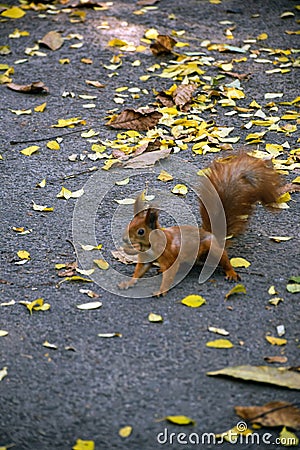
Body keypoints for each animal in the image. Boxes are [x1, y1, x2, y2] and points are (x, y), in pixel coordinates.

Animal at [118, 153, 298, 298]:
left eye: (141, 231)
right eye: (130, 224)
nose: (125, 239)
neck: (151, 245)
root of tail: (214, 236)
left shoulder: (169, 258)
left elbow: (168, 277)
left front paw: (161, 290)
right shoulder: (146, 260)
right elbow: (139, 272)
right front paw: (127, 283)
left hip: (213, 250)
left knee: (224, 258)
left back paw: (231, 272)